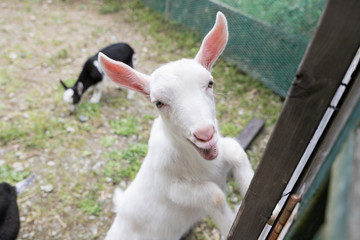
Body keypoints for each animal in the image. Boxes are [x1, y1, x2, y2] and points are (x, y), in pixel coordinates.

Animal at [99, 11, 256, 240]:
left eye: (210, 83)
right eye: (158, 103)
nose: (205, 134)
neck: (201, 163)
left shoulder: (222, 154)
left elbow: (236, 152)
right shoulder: (172, 188)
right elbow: (214, 196)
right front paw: (230, 225)